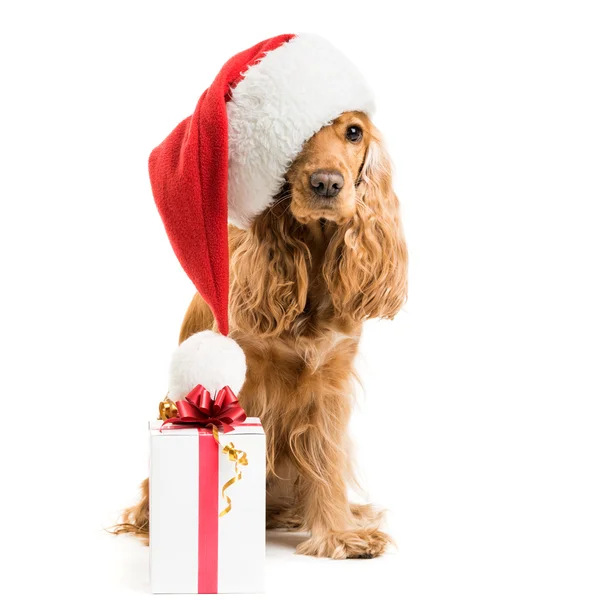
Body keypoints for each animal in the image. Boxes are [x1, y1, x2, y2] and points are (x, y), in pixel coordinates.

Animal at [116, 111, 408, 556]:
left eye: (354, 132)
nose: (327, 183)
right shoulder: (243, 382)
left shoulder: (331, 383)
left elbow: (328, 464)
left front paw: (340, 532)